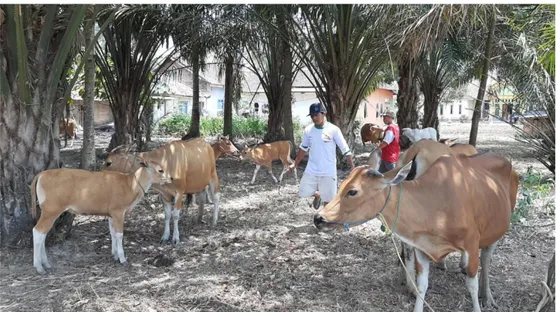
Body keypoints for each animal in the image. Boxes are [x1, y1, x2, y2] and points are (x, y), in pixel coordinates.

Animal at [28, 160, 169, 274]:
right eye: (160, 170)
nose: (171, 178)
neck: (130, 184)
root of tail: (42, 174)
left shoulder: (111, 214)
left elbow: (112, 233)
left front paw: (114, 255)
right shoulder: (118, 211)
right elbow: (119, 234)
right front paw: (122, 258)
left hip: (49, 212)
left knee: (43, 234)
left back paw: (46, 263)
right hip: (51, 210)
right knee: (38, 232)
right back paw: (39, 267)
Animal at [314, 150, 520, 310]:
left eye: (353, 191)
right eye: (342, 185)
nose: (319, 218)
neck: (435, 206)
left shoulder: (470, 243)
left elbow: (472, 285)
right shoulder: (422, 248)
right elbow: (422, 286)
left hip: (497, 230)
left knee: (486, 259)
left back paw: (488, 297)